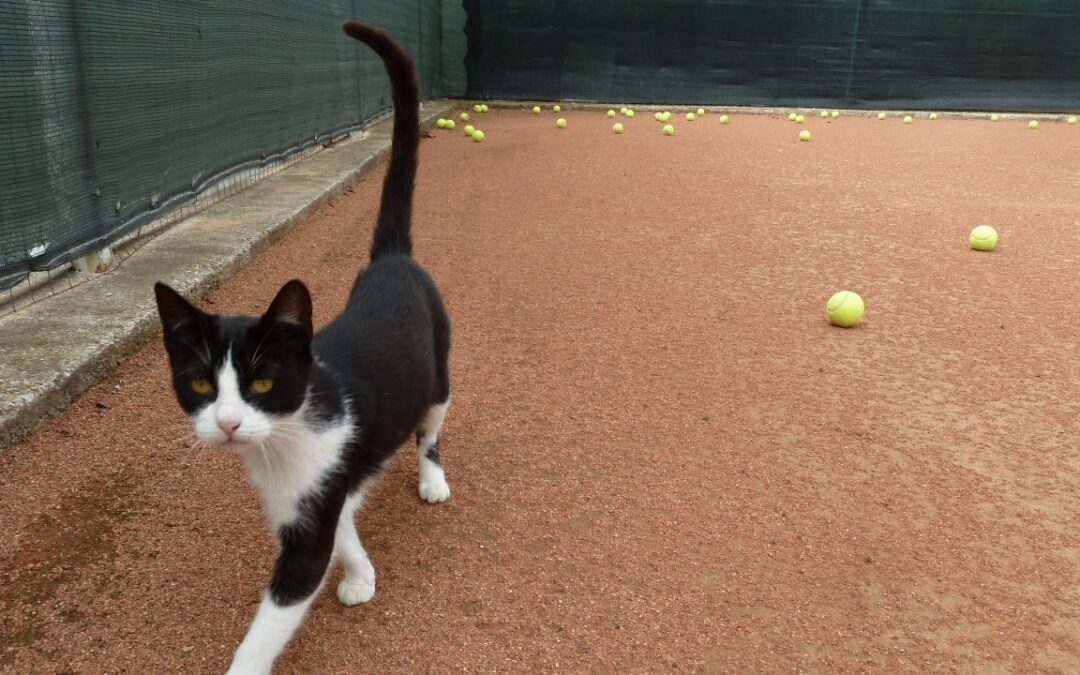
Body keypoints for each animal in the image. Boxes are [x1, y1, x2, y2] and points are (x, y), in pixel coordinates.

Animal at [152, 21, 447, 673]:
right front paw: (361, 575)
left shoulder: (314, 503)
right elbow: (342, 525)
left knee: (432, 423)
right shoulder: (309, 491)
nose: (228, 423)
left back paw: (433, 478)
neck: (284, 440)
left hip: (440, 369)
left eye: (263, 382)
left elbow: (281, 606)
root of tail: (391, 259)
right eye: (201, 383)